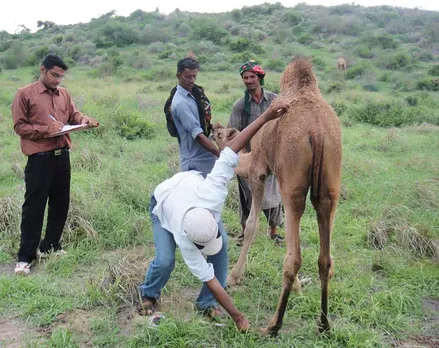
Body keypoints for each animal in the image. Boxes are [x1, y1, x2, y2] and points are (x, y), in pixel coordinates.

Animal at [214, 58, 344, 336]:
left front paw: (233, 276)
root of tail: (317, 130)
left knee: (294, 258)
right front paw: (299, 289)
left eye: (220, 135)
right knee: (325, 258)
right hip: (331, 183)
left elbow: (252, 225)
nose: (213, 127)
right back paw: (324, 324)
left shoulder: (259, 172)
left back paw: (273, 325)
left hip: (293, 183)